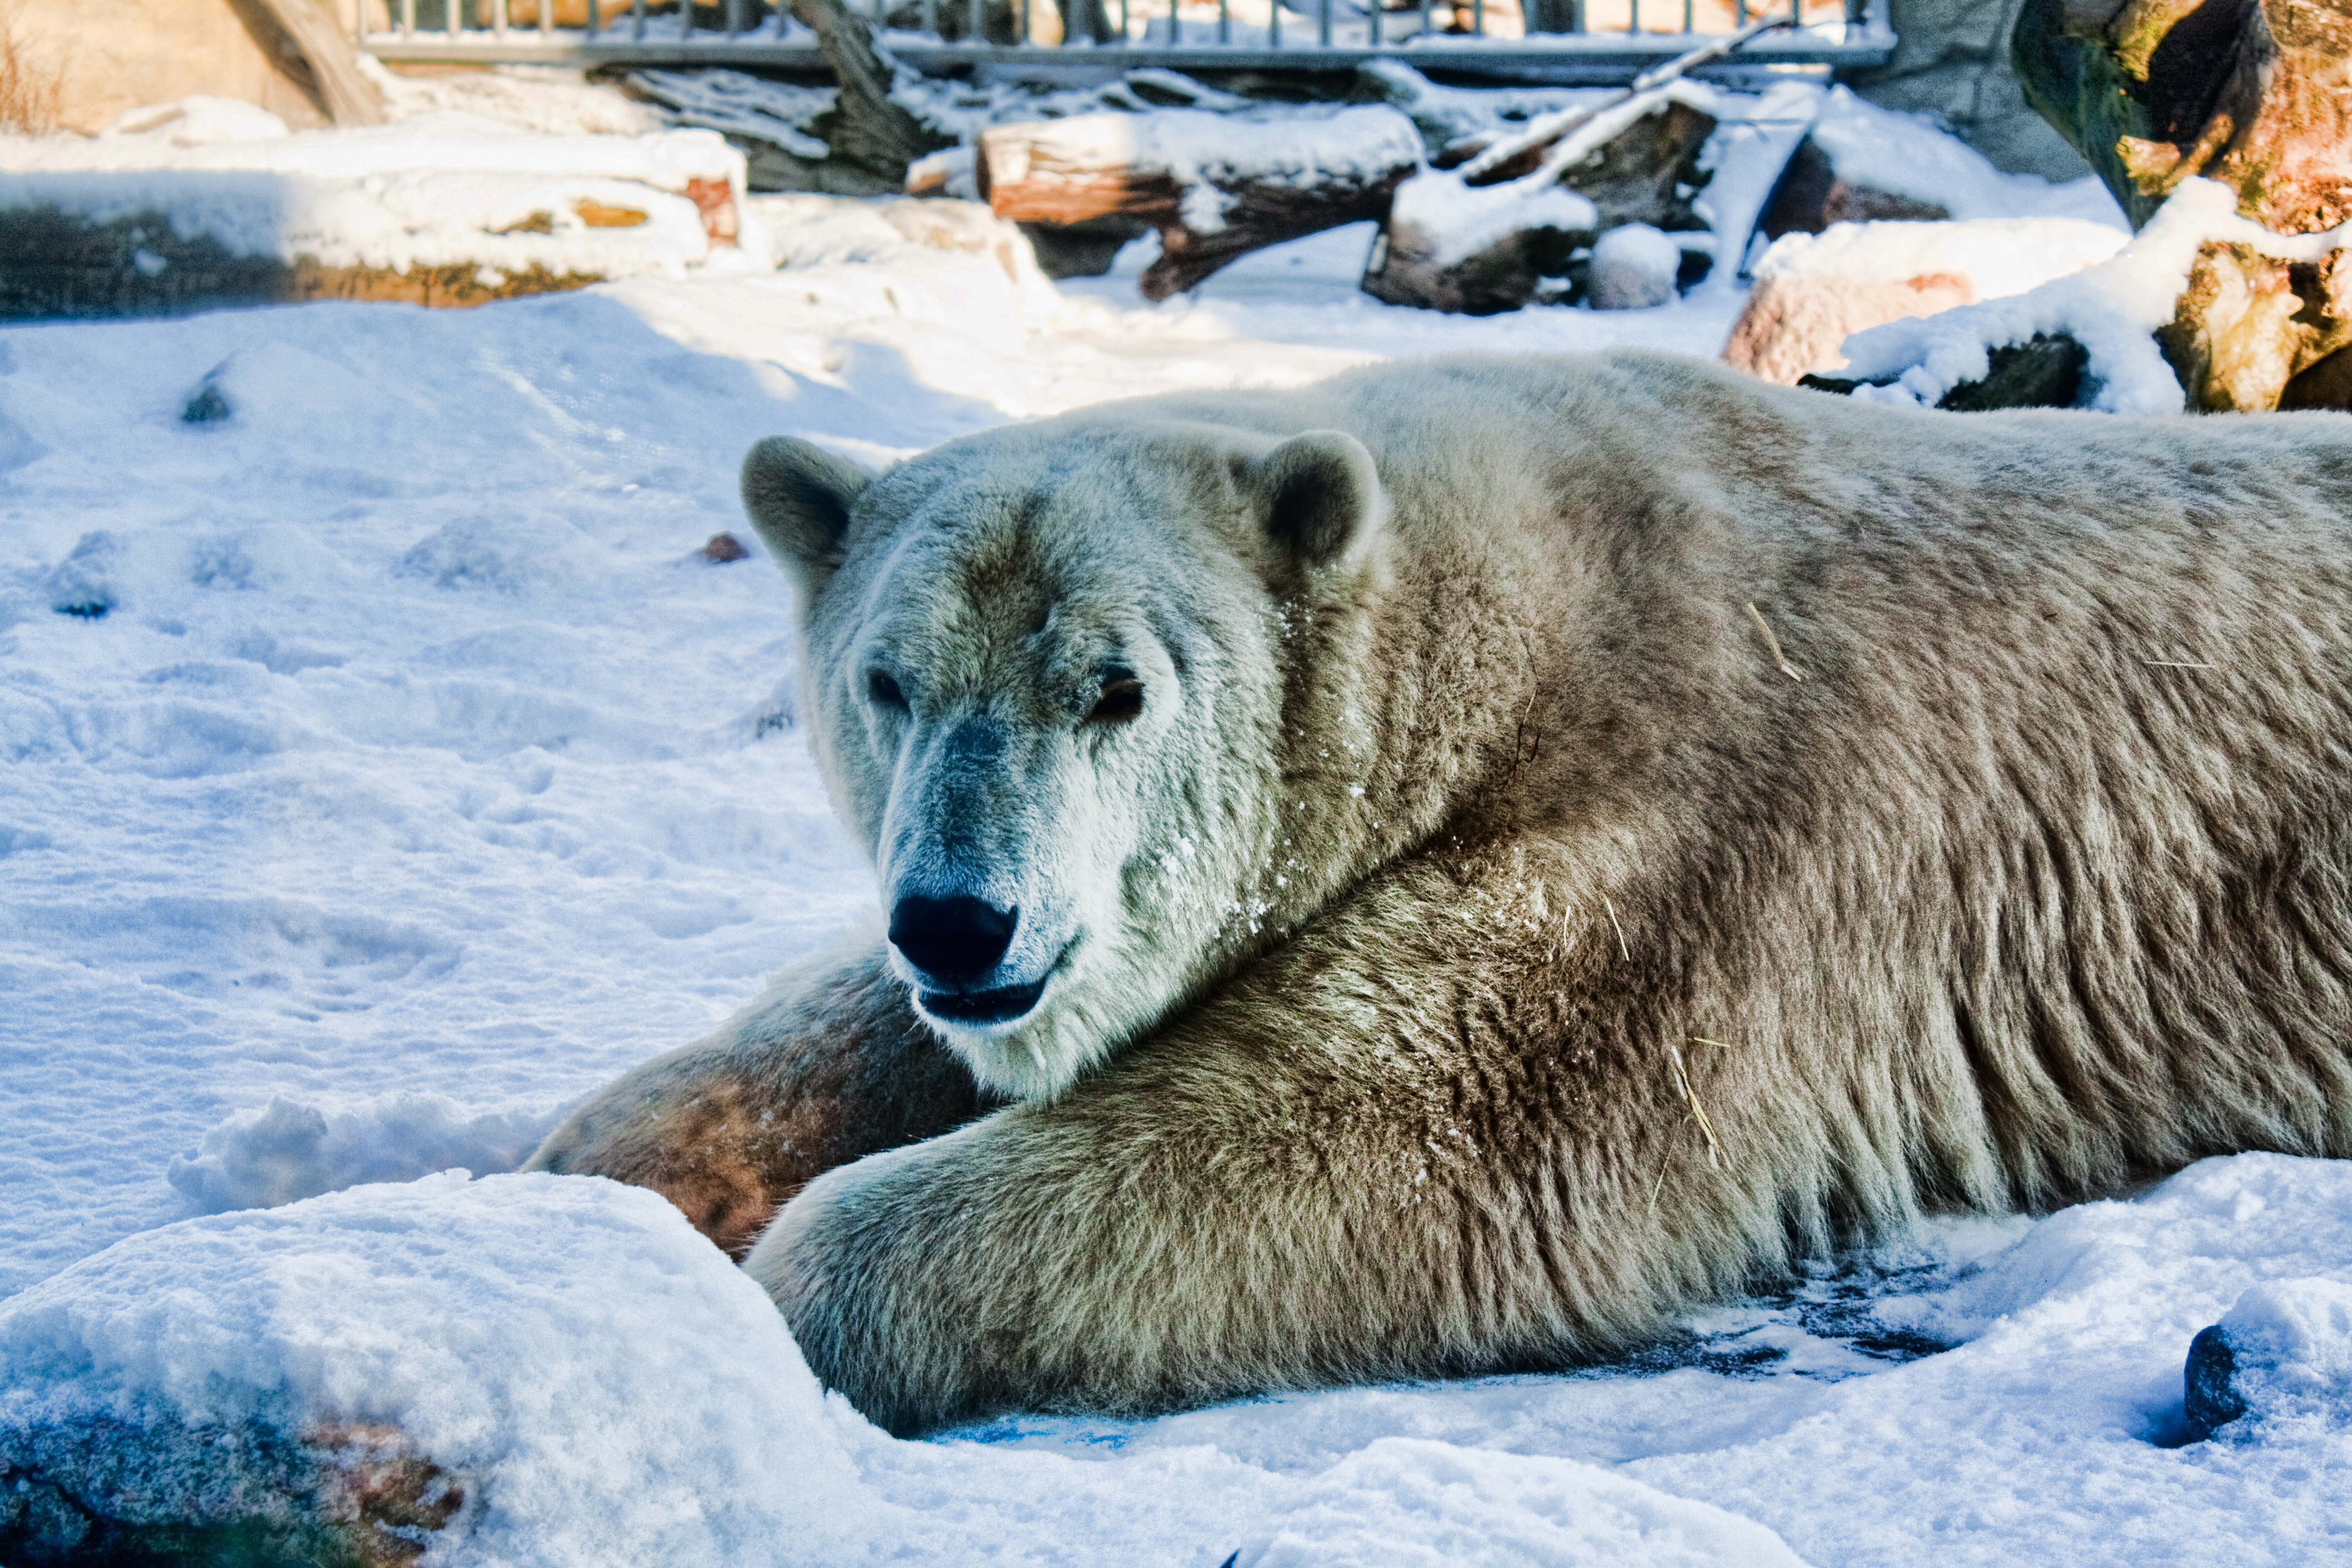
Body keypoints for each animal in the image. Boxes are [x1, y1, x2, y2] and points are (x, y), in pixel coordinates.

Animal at [529, 350, 2352, 1436]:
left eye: (1115, 688)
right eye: (889, 683)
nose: (961, 920)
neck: (1515, 594)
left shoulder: (1674, 839)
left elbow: (1403, 1137)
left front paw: (774, 1299)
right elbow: (858, 1031)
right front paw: (578, 1184)